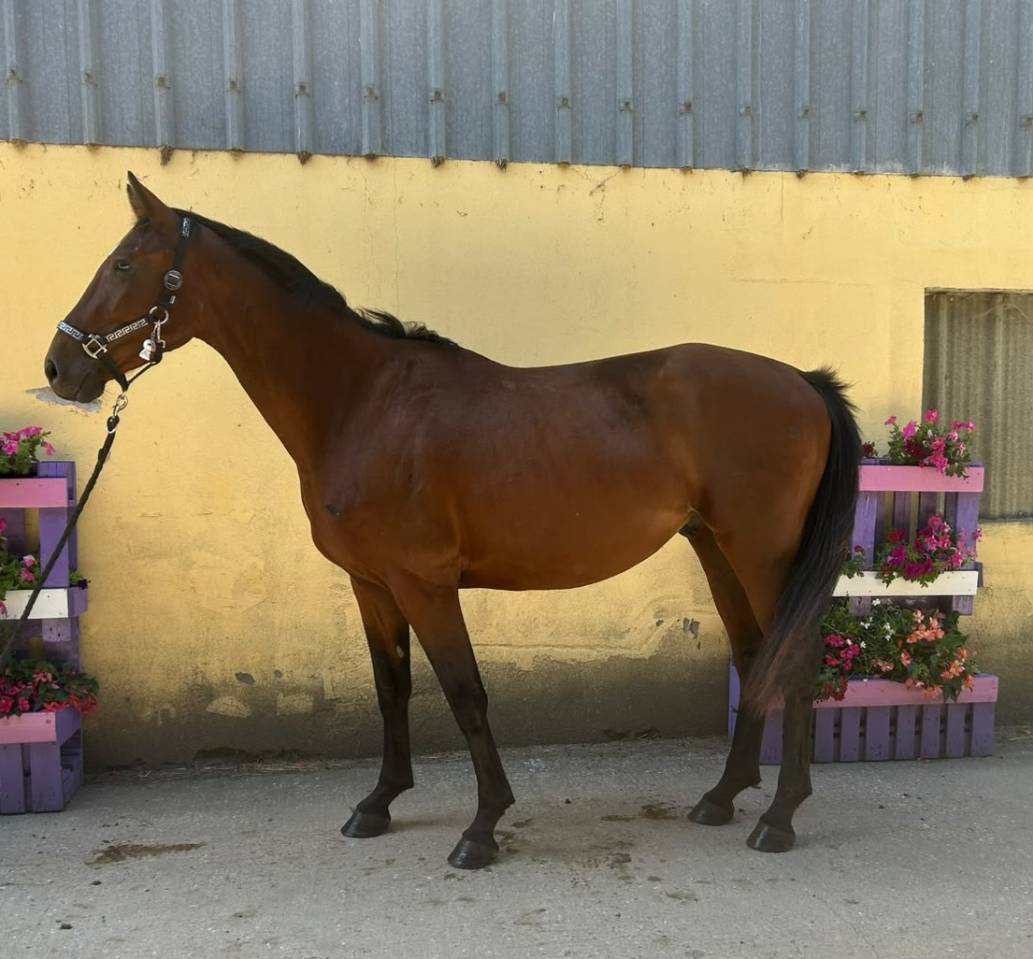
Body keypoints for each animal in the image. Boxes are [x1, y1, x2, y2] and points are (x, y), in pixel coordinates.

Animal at [43, 173, 860, 870]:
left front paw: (482, 826)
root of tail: (803, 383)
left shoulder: (425, 583)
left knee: (793, 659)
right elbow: (392, 689)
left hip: (761, 553)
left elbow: (465, 692)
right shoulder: (371, 585)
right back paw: (721, 798)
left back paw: (778, 818)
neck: (361, 402)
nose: (58, 368)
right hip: (716, 549)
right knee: (756, 656)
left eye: (123, 264)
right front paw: (378, 804)